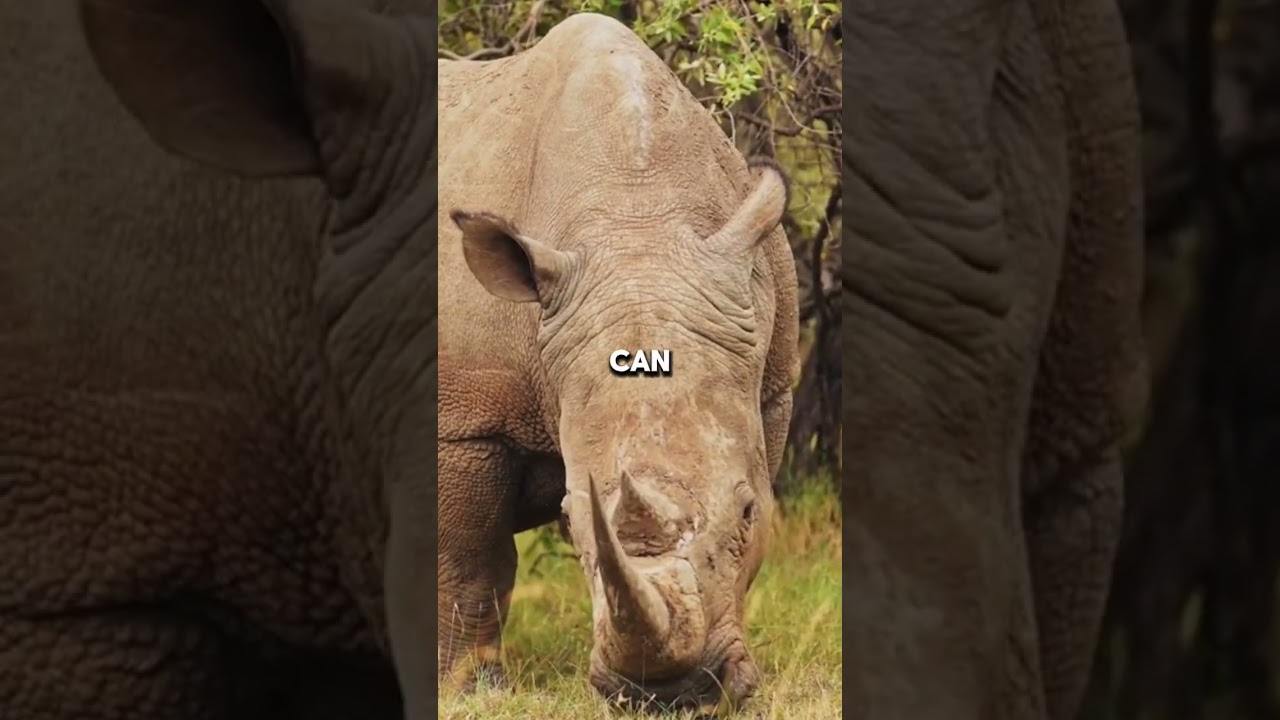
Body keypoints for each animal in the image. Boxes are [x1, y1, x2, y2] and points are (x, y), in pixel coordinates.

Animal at [437, 13, 800, 711]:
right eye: (572, 523)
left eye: (747, 511)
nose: (668, 695)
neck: (637, 217)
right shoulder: (463, 419)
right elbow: (467, 564)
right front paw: (468, 693)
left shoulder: (772, 387)